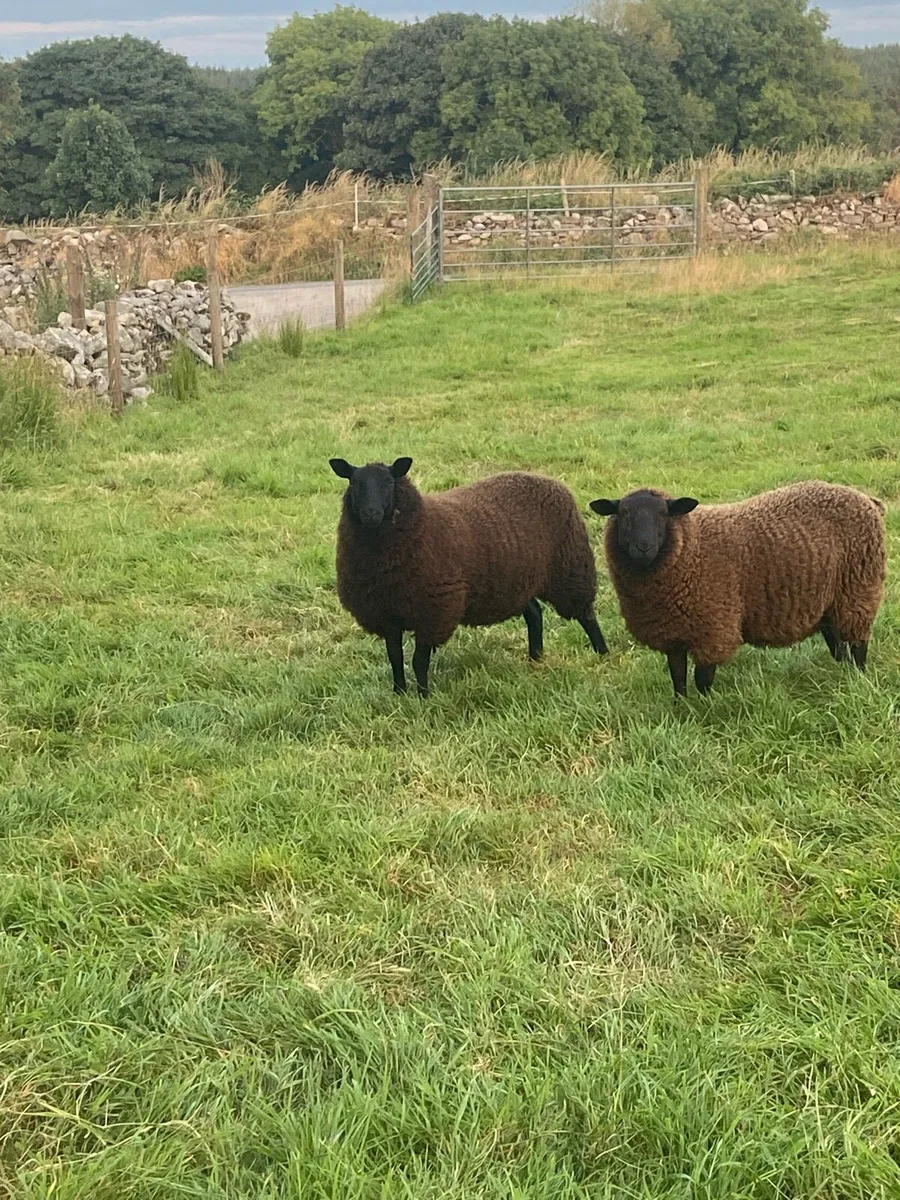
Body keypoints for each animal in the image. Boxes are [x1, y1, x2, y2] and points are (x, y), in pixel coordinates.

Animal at [330, 456, 608, 696]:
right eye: (353, 483)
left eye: (389, 482)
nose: (371, 514)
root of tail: (547, 479)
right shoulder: (386, 613)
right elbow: (395, 657)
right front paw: (399, 693)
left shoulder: (434, 612)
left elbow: (419, 661)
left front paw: (423, 697)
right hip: (515, 580)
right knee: (535, 613)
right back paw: (535, 658)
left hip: (570, 568)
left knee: (586, 615)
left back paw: (603, 654)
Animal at [589, 481, 886, 699]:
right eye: (623, 515)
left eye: (663, 514)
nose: (644, 547)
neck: (691, 550)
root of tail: (867, 499)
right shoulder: (673, 633)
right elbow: (678, 678)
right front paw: (680, 709)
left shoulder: (713, 628)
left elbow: (702, 679)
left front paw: (705, 710)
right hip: (829, 602)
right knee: (838, 645)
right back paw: (844, 675)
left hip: (859, 589)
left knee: (859, 644)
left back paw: (858, 680)